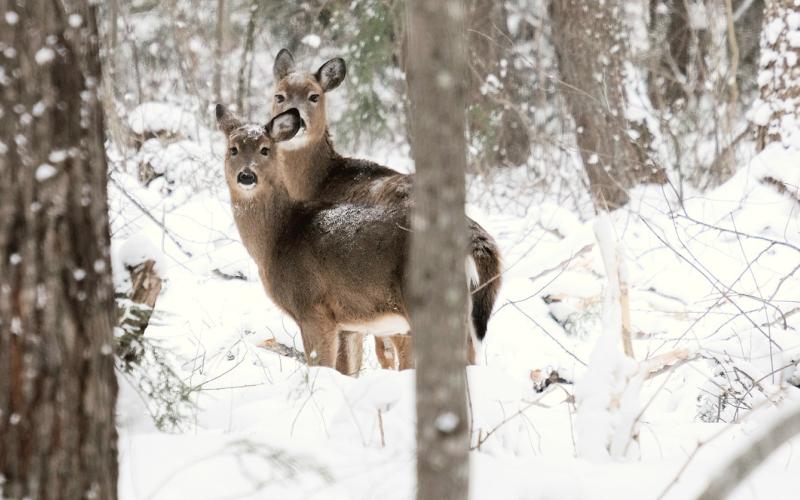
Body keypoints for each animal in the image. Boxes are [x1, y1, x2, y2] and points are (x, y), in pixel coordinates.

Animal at [217, 105, 480, 376]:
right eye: (233, 149)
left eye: (265, 149)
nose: (246, 175)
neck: (278, 239)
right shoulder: (347, 322)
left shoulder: (313, 309)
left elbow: (322, 365)